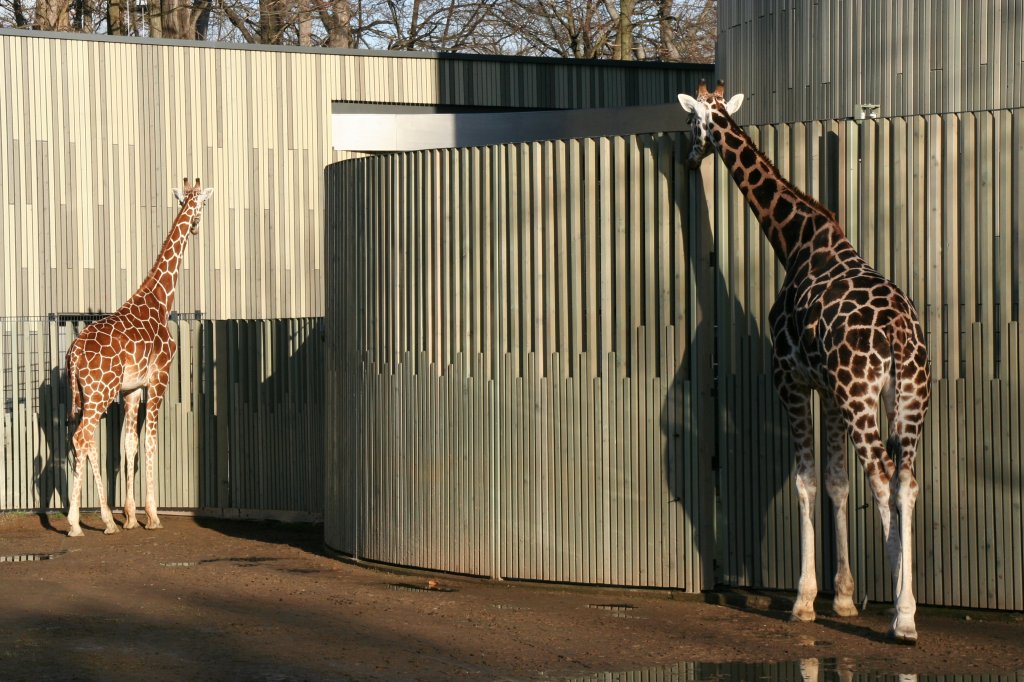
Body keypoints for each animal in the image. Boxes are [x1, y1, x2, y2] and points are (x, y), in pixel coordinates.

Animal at [65, 176, 214, 536]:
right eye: (201, 203)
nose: (196, 227)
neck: (161, 299)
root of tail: (73, 353)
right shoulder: (159, 379)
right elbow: (150, 441)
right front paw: (153, 515)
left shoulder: (131, 389)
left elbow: (128, 443)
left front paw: (131, 516)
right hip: (100, 393)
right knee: (82, 436)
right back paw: (84, 523)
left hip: (83, 395)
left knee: (81, 439)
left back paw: (97, 520)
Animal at [675, 82, 933, 638]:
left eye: (691, 124)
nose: (687, 158)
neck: (792, 241)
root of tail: (900, 332)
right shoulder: (829, 389)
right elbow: (836, 482)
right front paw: (844, 598)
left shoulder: (790, 379)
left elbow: (807, 482)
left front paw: (804, 600)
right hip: (910, 396)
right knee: (906, 480)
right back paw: (906, 606)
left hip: (863, 397)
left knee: (882, 475)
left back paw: (901, 617)